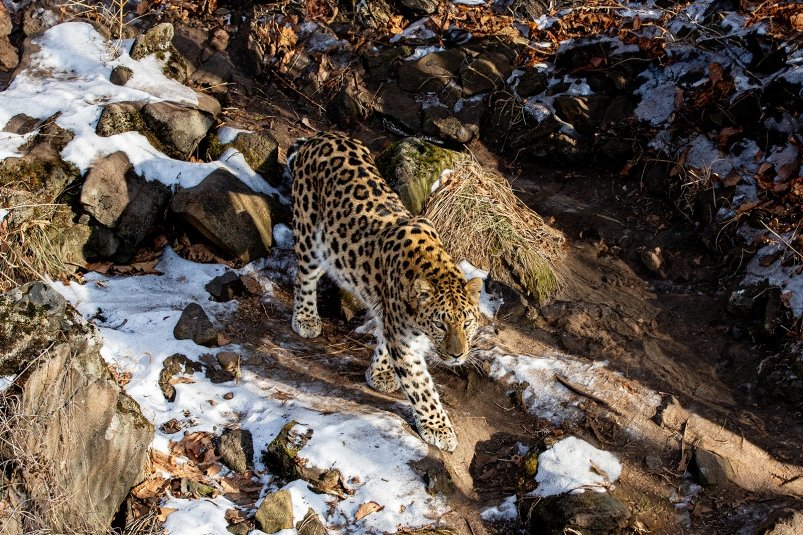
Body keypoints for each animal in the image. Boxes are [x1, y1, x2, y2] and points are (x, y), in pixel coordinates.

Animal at [288, 131, 480, 452]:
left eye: (466, 323)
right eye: (440, 324)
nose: (457, 356)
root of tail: (322, 135)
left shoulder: (392, 322)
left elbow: (383, 341)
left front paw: (379, 374)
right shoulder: (404, 341)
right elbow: (422, 388)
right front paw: (439, 429)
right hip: (310, 236)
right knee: (305, 278)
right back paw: (305, 319)